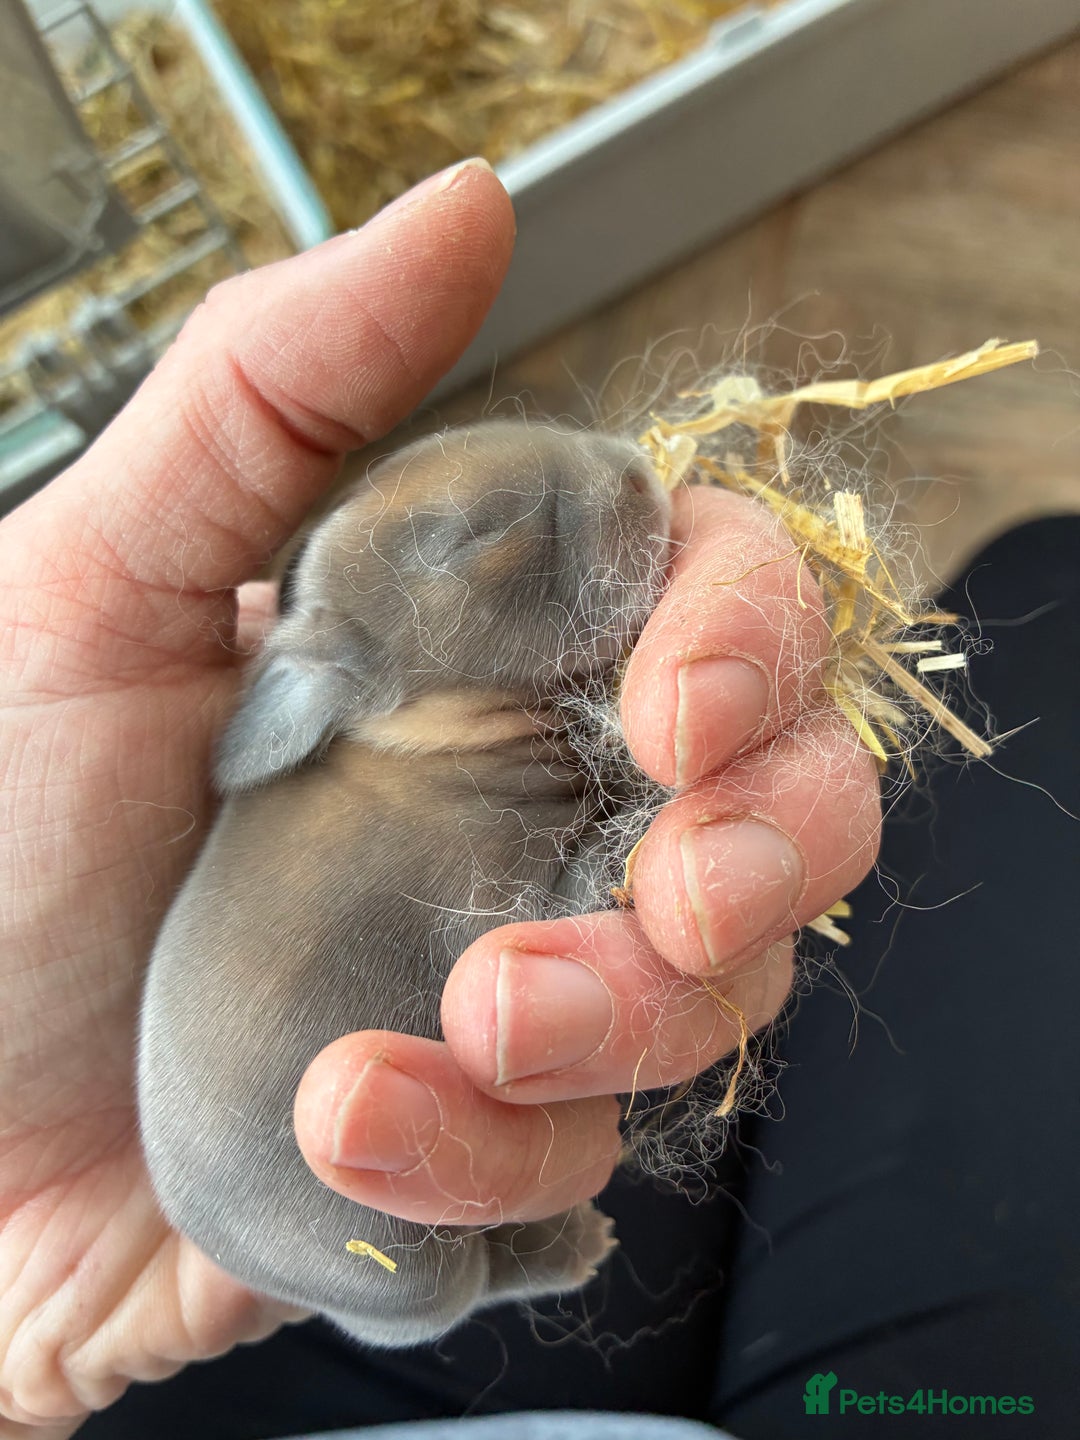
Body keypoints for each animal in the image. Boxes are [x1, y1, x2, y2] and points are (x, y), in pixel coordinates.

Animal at [137, 418, 672, 1347]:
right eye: (473, 539)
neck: (433, 741)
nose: (640, 475)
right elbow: (569, 894)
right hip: (415, 1276)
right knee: (476, 1282)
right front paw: (643, 813)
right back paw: (572, 1246)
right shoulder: (486, 906)